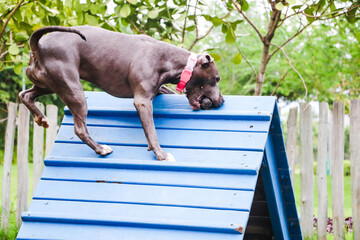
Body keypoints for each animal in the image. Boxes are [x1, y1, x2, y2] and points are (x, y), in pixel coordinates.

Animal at [19, 25, 224, 161]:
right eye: (217, 78)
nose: (221, 100)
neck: (170, 60)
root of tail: (38, 46)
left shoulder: (157, 90)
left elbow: (166, 92)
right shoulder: (142, 101)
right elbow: (152, 131)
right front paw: (161, 154)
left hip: (48, 83)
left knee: (25, 95)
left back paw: (40, 118)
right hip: (73, 91)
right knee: (79, 128)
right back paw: (100, 149)